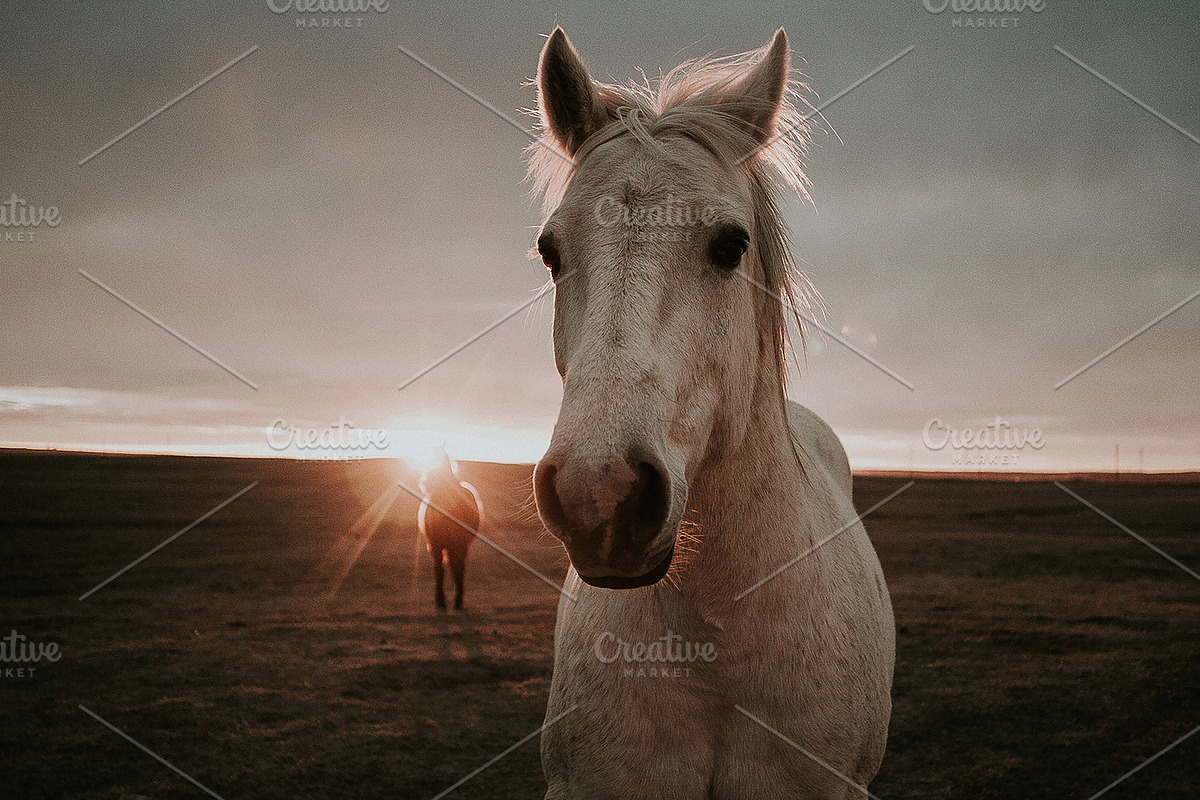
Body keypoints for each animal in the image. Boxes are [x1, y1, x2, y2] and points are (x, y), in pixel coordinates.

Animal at [418, 447, 483, 611]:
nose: (423, 481)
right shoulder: (437, 545)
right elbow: (440, 569)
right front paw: (442, 600)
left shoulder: (443, 545)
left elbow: (446, 569)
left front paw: (443, 600)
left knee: (457, 567)